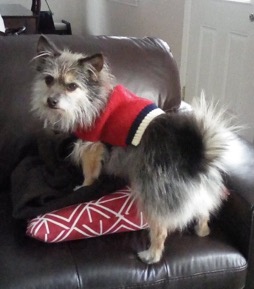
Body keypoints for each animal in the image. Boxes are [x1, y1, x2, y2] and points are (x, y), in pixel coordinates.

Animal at [31, 35, 236, 264]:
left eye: (72, 86)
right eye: (48, 80)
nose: (51, 101)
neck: (93, 98)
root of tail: (195, 158)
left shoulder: (92, 145)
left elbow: (89, 173)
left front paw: (84, 187)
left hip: (152, 198)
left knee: (160, 230)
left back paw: (151, 254)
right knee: (203, 213)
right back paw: (202, 230)